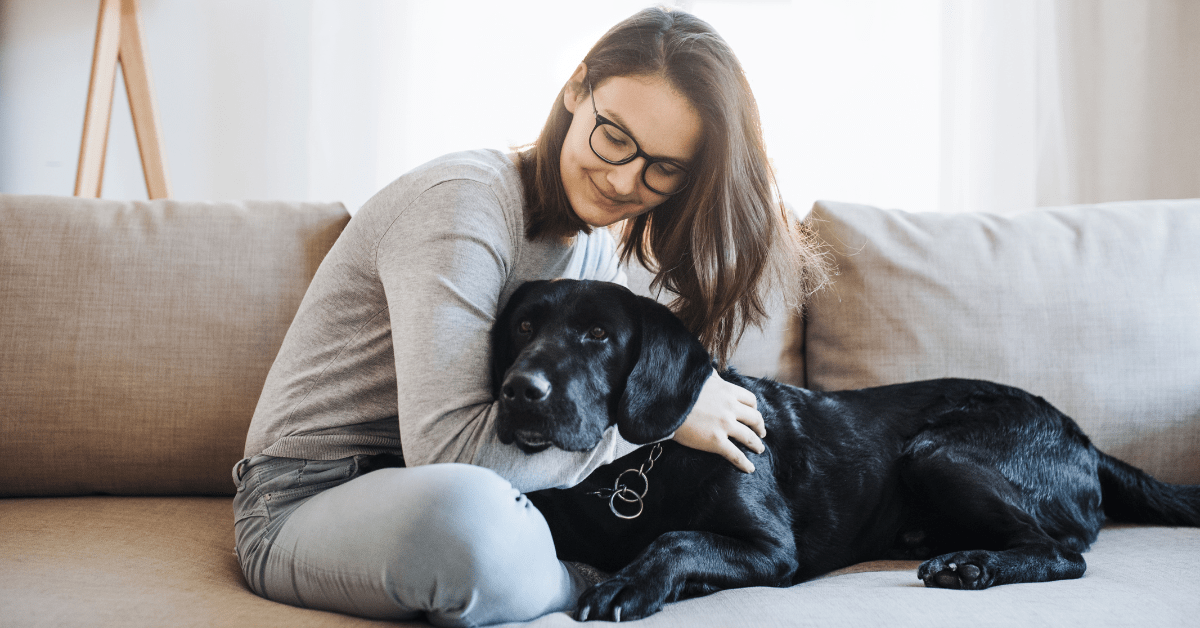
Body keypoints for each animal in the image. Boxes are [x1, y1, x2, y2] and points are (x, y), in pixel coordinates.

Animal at [489, 279, 1200, 624]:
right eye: (523, 326)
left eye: (599, 335)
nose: (518, 390)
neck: (632, 472)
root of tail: (1085, 437)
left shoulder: (771, 548)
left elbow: (676, 538)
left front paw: (629, 583)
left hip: (935, 451)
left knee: (1064, 552)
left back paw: (971, 564)